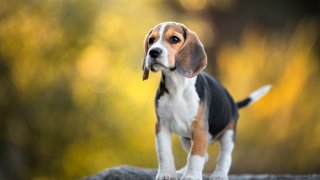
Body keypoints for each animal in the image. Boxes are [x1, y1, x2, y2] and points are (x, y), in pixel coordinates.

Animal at [142, 22, 270, 180]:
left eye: (174, 39)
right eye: (151, 40)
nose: (153, 52)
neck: (177, 86)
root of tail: (233, 103)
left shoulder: (199, 129)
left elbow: (195, 156)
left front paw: (191, 176)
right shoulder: (161, 125)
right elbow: (164, 152)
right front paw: (167, 174)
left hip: (228, 134)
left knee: (224, 157)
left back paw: (219, 174)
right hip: (186, 138)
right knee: (206, 156)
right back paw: (181, 171)